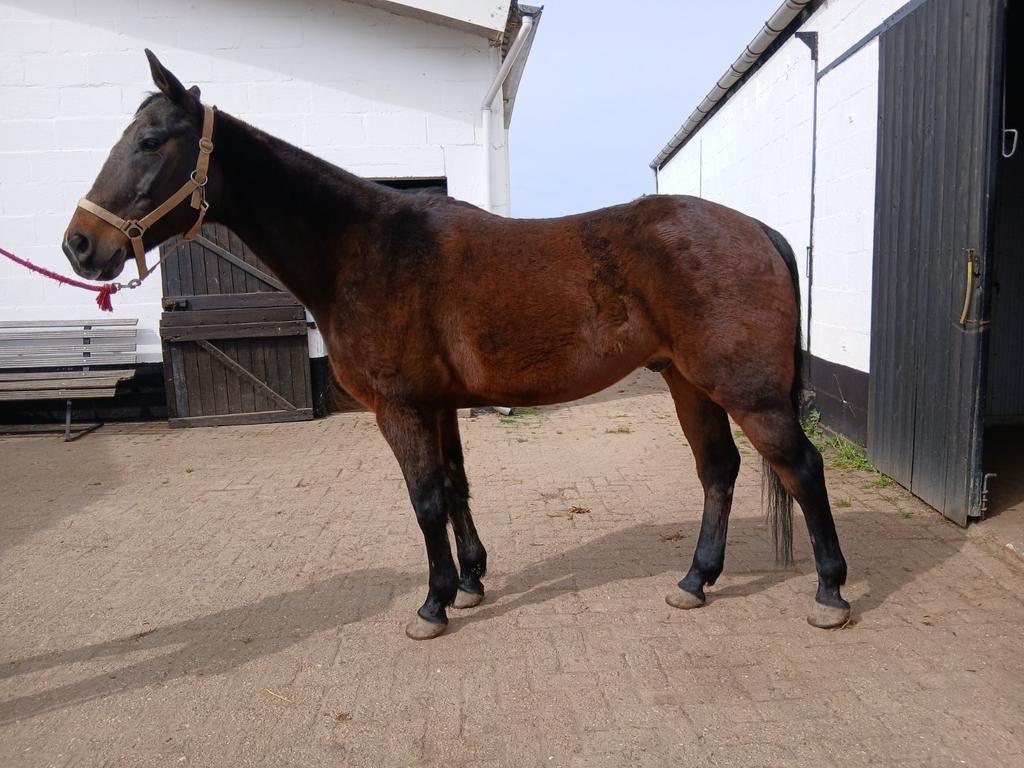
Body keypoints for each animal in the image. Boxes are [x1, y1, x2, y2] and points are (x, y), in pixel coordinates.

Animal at [63, 50, 850, 639]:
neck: (362, 248)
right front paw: (471, 580)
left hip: (745, 391)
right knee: (718, 471)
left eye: (151, 142)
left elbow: (424, 501)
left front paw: (434, 601)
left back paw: (830, 594)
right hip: (688, 381)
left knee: (801, 469)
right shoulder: (438, 405)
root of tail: (757, 229)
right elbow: (456, 487)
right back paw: (694, 581)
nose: (80, 245)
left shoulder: (401, 407)